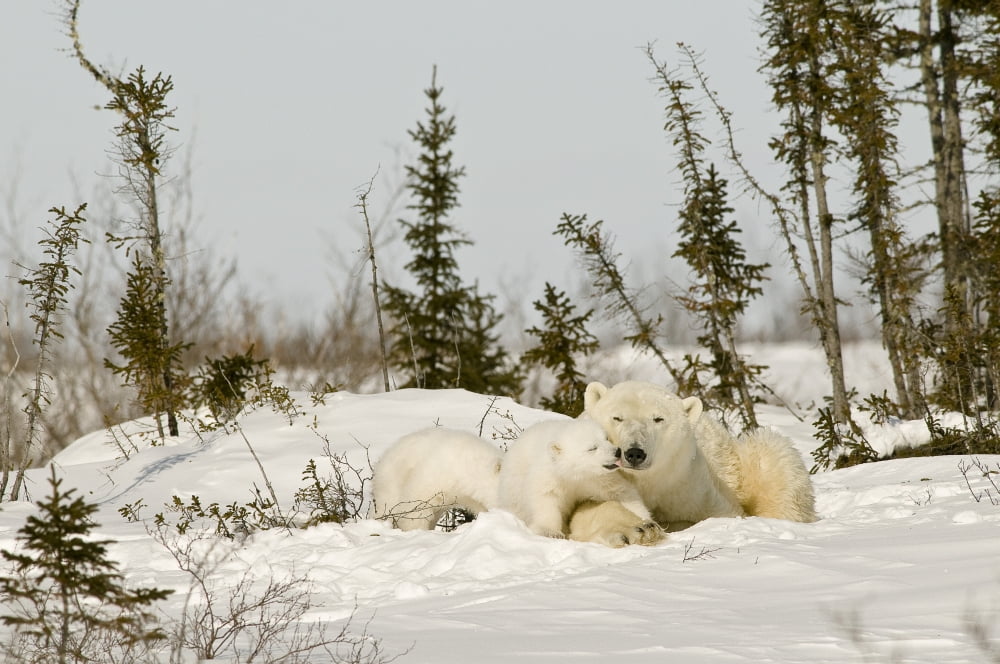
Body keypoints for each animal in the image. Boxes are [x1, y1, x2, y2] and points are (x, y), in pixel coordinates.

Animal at [497, 418, 661, 544]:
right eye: (592, 448)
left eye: (606, 438)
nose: (617, 451)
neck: (575, 475)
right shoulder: (550, 477)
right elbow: (546, 500)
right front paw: (551, 532)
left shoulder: (598, 479)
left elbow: (622, 493)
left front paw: (647, 522)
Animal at [569, 380, 816, 543]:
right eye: (617, 417)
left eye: (658, 419)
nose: (634, 453)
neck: (650, 483)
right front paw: (638, 529)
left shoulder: (693, 486)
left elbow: (722, 513)